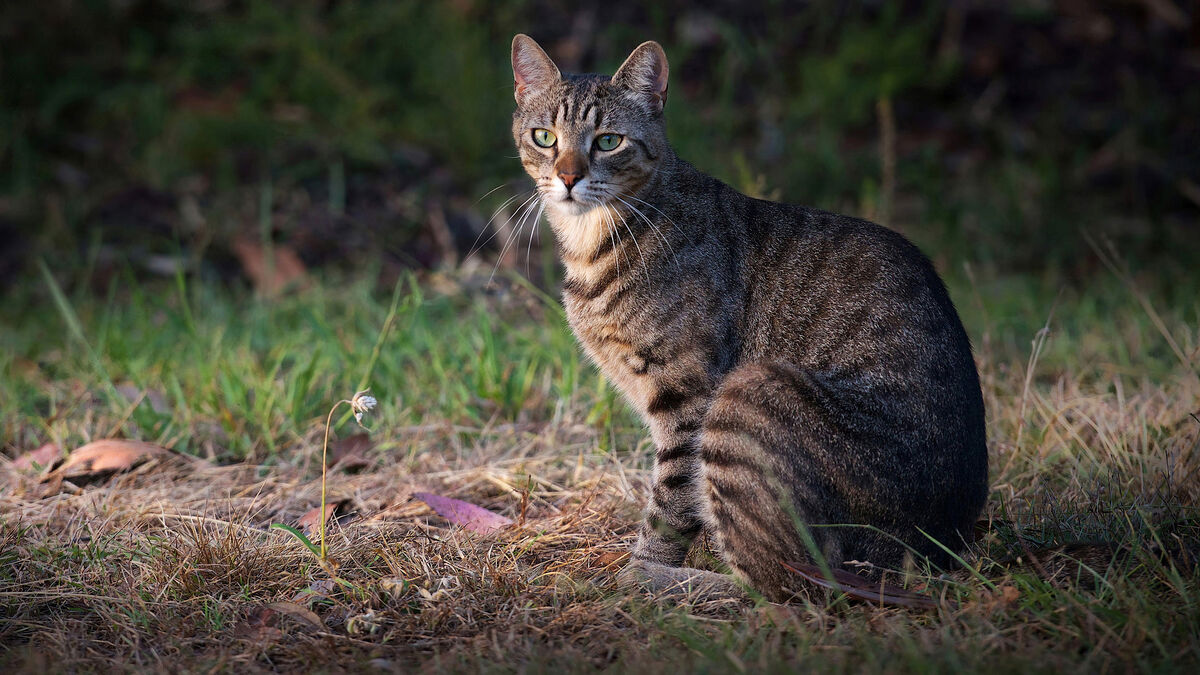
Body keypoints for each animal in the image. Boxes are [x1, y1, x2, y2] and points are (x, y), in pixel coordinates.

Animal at [511, 34, 988, 598]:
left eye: (608, 142)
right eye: (544, 137)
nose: (567, 177)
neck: (592, 246)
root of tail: (943, 544)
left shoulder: (686, 397)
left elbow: (670, 503)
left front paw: (642, 568)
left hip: (749, 393)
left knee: (779, 584)